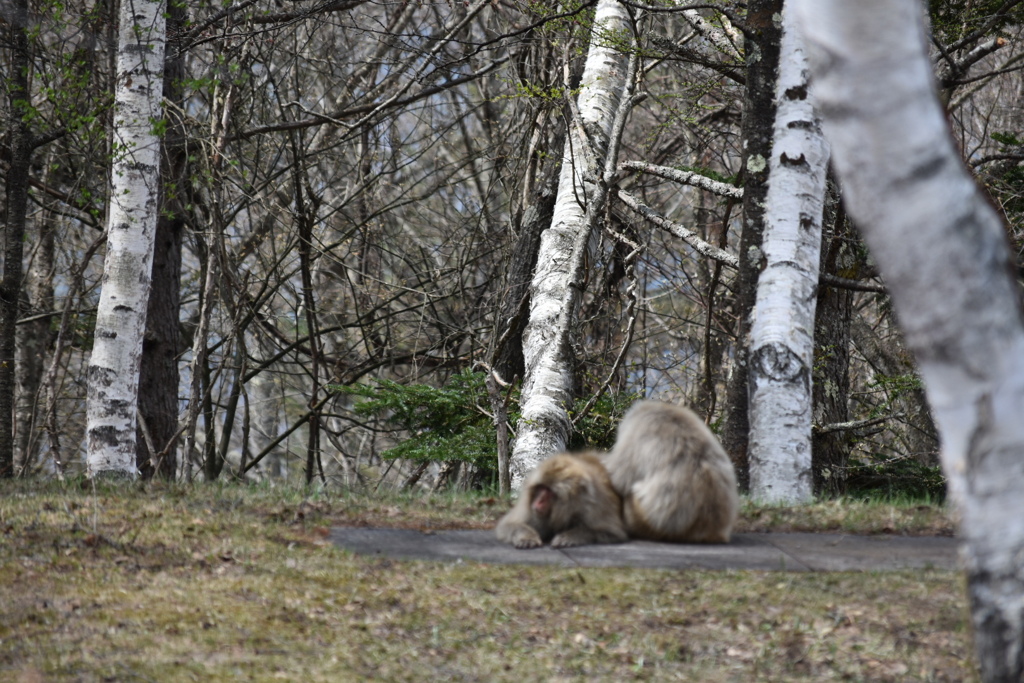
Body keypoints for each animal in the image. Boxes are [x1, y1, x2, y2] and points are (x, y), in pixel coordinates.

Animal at [493, 454, 626, 548]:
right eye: (541, 488)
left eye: (550, 491)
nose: (538, 501)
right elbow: (507, 525)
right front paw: (526, 537)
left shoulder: (596, 506)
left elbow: (611, 533)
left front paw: (568, 537)